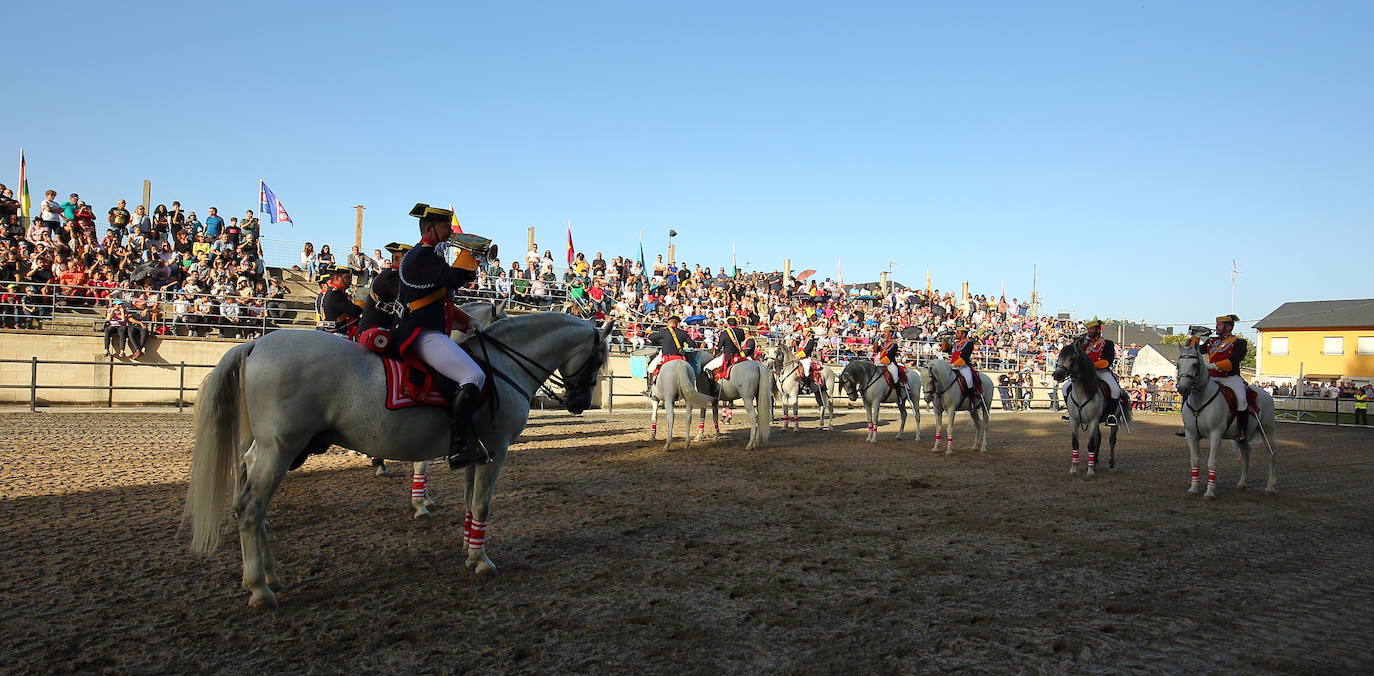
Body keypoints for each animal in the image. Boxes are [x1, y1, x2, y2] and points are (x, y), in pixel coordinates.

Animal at [185, 314, 615, 610]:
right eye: (598, 360)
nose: (579, 403)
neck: (502, 367)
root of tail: (257, 344)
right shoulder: (497, 450)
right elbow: (482, 504)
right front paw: (481, 561)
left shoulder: (478, 453)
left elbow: (469, 503)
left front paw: (467, 547)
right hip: (280, 449)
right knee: (251, 509)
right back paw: (260, 588)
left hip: (267, 451)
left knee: (254, 508)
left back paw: (270, 577)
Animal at [1176, 346, 1280, 500]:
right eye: (1178, 364)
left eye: (1194, 365)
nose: (1182, 389)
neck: (1200, 399)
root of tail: (1266, 394)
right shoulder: (1191, 435)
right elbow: (1194, 461)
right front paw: (1193, 488)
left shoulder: (1215, 434)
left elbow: (1212, 462)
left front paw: (1209, 492)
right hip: (1242, 436)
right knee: (1246, 454)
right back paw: (1242, 483)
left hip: (1267, 430)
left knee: (1272, 453)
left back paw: (1270, 487)